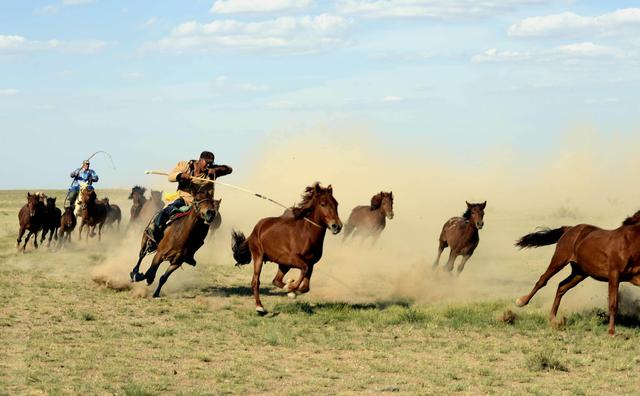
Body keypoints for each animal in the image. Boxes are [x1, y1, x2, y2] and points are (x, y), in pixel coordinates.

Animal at [229, 183, 340, 316]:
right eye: (323, 204)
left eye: (336, 204)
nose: (337, 226)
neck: (305, 234)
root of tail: (255, 230)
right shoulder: (291, 259)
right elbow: (304, 269)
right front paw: (291, 288)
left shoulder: (311, 263)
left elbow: (305, 287)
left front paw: (292, 290)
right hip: (259, 257)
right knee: (255, 281)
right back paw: (260, 307)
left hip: (283, 265)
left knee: (275, 280)